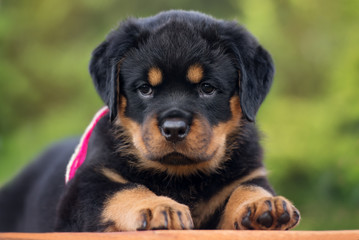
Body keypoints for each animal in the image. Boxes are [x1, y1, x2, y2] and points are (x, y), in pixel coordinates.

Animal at [0, 10, 300, 232]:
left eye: (207, 88)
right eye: (145, 88)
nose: (174, 129)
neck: (181, 177)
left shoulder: (249, 172)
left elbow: (248, 187)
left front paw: (266, 205)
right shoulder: (84, 188)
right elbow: (123, 189)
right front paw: (159, 206)